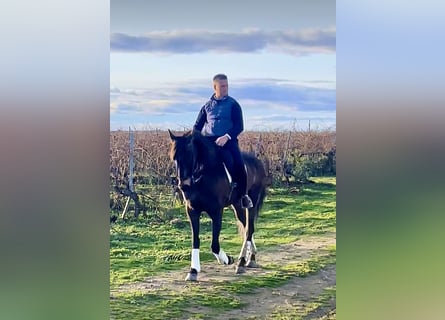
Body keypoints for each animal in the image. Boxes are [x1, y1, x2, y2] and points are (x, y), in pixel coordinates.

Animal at [168, 129, 268, 282]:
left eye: (189, 154)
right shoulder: (192, 210)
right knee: (246, 227)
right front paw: (193, 270)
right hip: (238, 205)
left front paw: (227, 259)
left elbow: (214, 244)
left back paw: (241, 262)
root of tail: (258, 162)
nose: (183, 185)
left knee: (249, 229)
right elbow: (195, 240)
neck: (204, 175)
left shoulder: (216, 211)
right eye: (174, 158)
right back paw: (251, 258)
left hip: (252, 203)